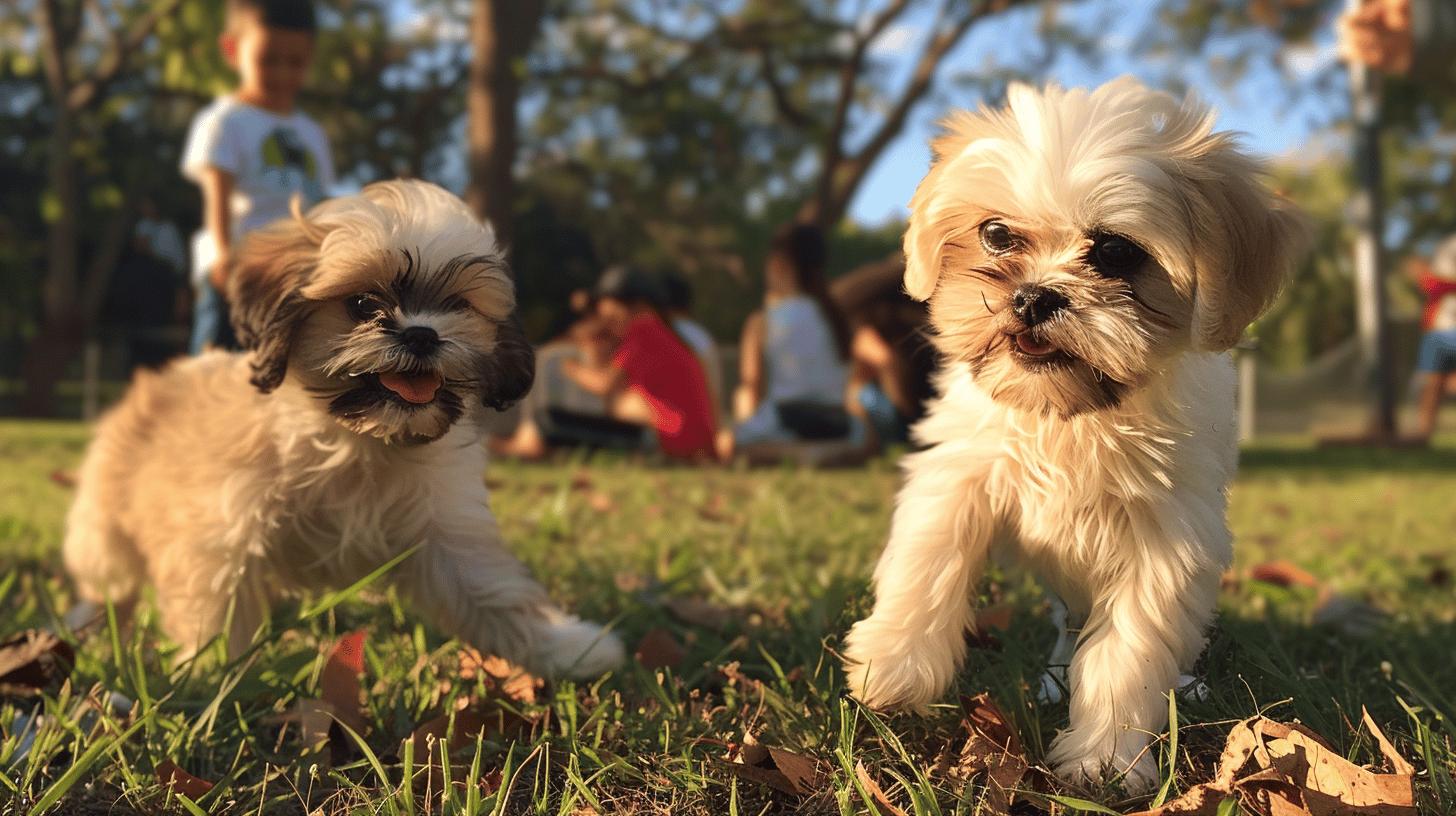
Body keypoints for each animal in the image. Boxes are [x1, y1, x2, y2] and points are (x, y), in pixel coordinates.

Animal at [65, 181, 623, 679]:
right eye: (360, 304)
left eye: (459, 306)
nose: (422, 335)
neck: (356, 438)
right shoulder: (221, 534)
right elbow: (219, 613)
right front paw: (215, 679)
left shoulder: (443, 534)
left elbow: (493, 592)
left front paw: (568, 649)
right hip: (103, 527)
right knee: (110, 580)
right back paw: (88, 624)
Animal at [844, 81, 1310, 792]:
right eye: (996, 234)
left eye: (1117, 252)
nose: (1034, 296)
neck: (1068, 417)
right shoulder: (960, 468)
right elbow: (930, 556)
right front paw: (896, 666)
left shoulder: (1167, 538)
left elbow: (1129, 648)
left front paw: (1107, 758)